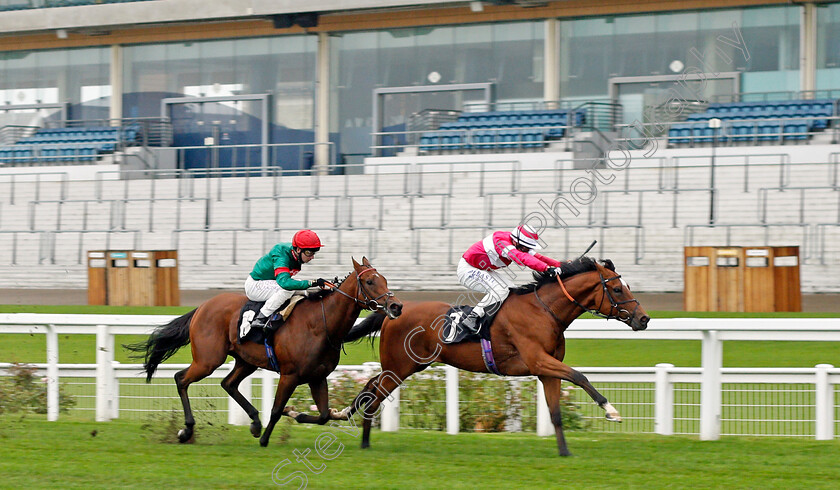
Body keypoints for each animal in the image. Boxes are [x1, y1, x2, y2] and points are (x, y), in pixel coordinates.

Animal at [123, 258, 402, 446]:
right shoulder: (290, 375)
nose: (396, 306)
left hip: (245, 360)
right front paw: (266, 438)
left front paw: (294, 415)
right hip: (208, 359)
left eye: (385, 280)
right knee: (181, 378)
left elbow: (323, 415)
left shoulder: (317, 376)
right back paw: (187, 431)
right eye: (369, 281)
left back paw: (254, 423)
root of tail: (202, 307)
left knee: (228, 383)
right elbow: (277, 409)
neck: (321, 324)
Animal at [342, 258, 648, 458]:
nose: (643, 319)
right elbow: (580, 376)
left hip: (407, 365)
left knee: (371, 386)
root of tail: (392, 312)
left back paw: (353, 422)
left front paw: (564, 452)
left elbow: (555, 412)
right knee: (374, 395)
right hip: (399, 367)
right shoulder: (539, 360)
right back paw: (363, 439)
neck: (544, 310)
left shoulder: (546, 370)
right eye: (617, 289)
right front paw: (611, 411)